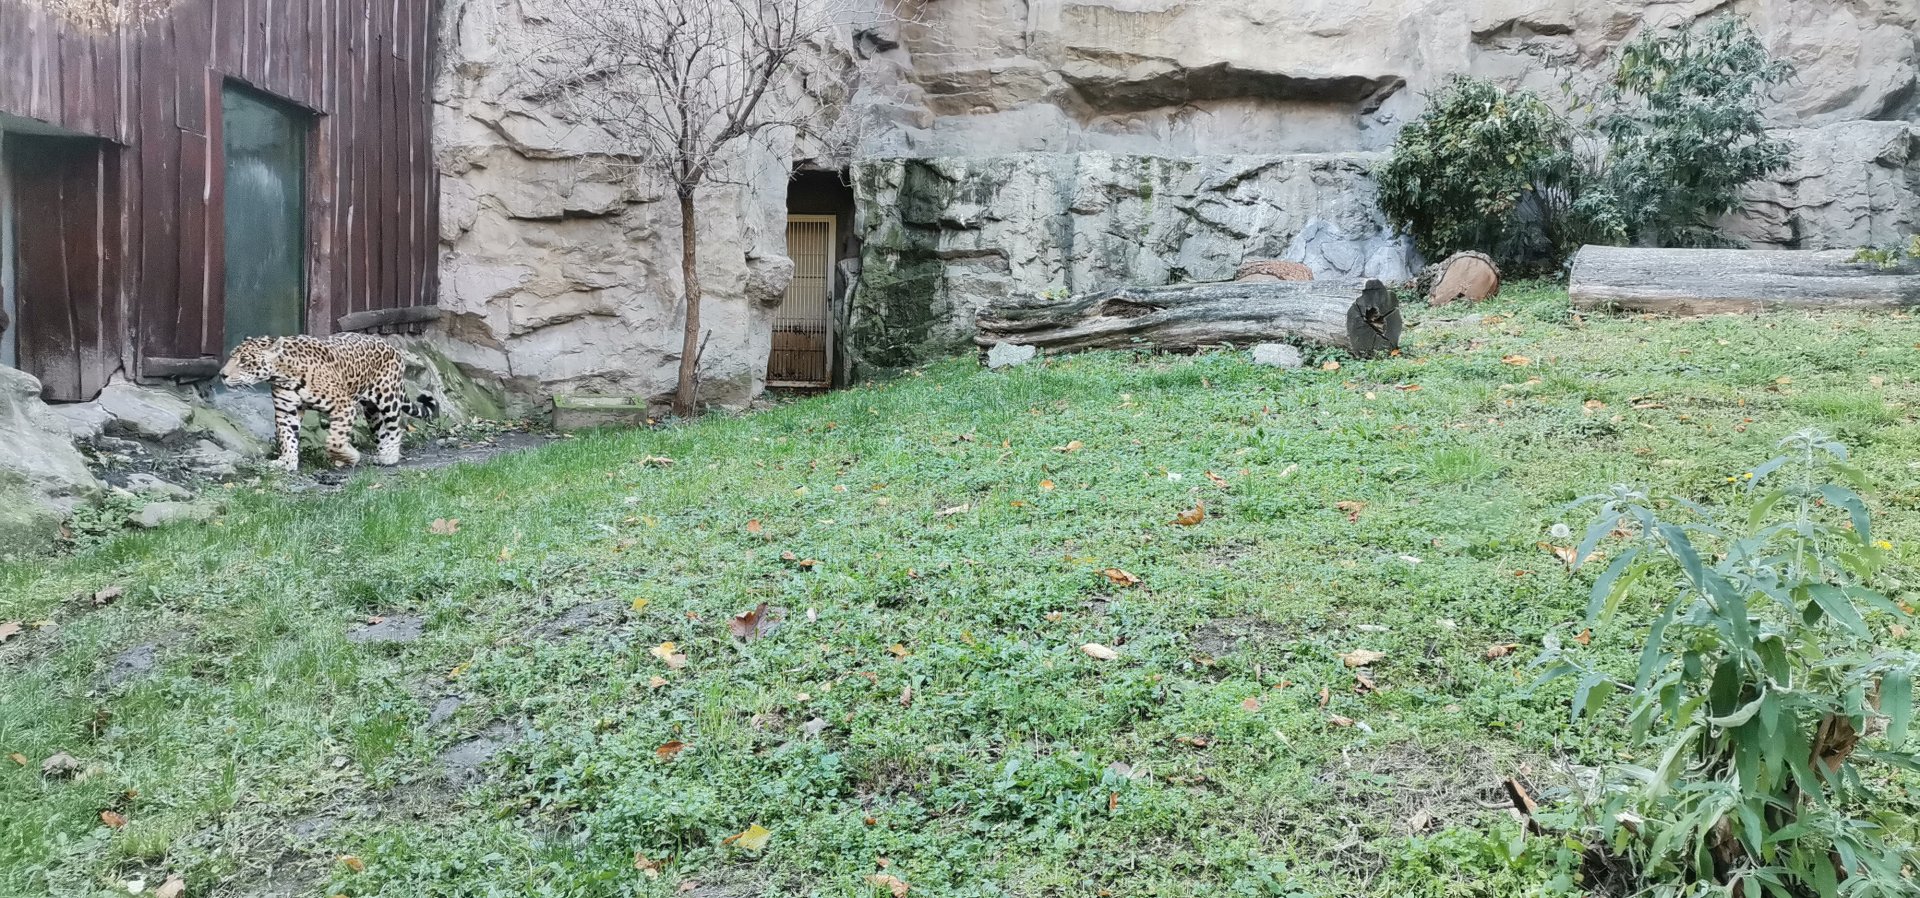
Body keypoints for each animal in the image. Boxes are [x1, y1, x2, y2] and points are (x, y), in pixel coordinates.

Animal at [220, 333, 439, 471]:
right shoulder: (286, 411)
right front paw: (287, 461)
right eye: (231, 357)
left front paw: (351, 456)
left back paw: (390, 457)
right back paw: (382, 452)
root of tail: (392, 347)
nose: (222, 375)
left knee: (395, 426)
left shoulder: (343, 406)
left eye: (244, 361)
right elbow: (286, 437)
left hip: (387, 396)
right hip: (371, 410)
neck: (282, 374)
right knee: (381, 431)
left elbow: (334, 441)